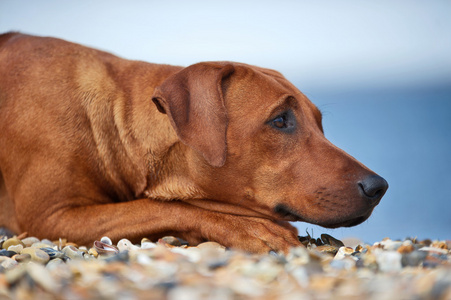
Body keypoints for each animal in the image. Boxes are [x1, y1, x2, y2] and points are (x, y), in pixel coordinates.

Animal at [0, 32, 388, 253]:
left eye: (320, 124)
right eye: (280, 120)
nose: (379, 187)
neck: (114, 120)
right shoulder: (50, 217)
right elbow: (159, 206)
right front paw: (249, 228)